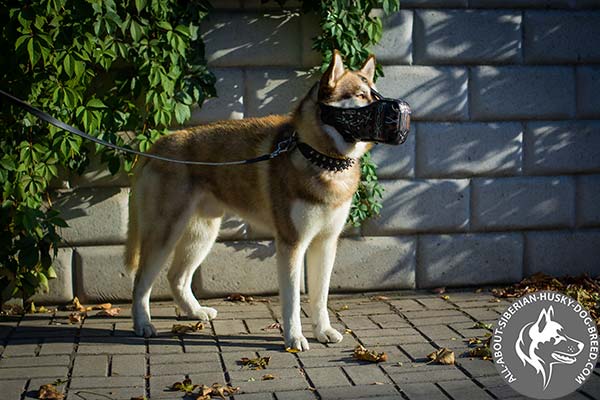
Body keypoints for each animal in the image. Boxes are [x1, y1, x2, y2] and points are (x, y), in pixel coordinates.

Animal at [124, 50, 390, 350]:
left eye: (375, 93)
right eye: (361, 95)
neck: (320, 158)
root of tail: (157, 144)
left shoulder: (325, 242)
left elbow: (320, 298)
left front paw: (323, 331)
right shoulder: (291, 244)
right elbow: (292, 301)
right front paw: (294, 338)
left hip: (202, 234)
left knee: (176, 277)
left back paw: (196, 312)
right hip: (164, 234)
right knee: (141, 282)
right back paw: (143, 323)